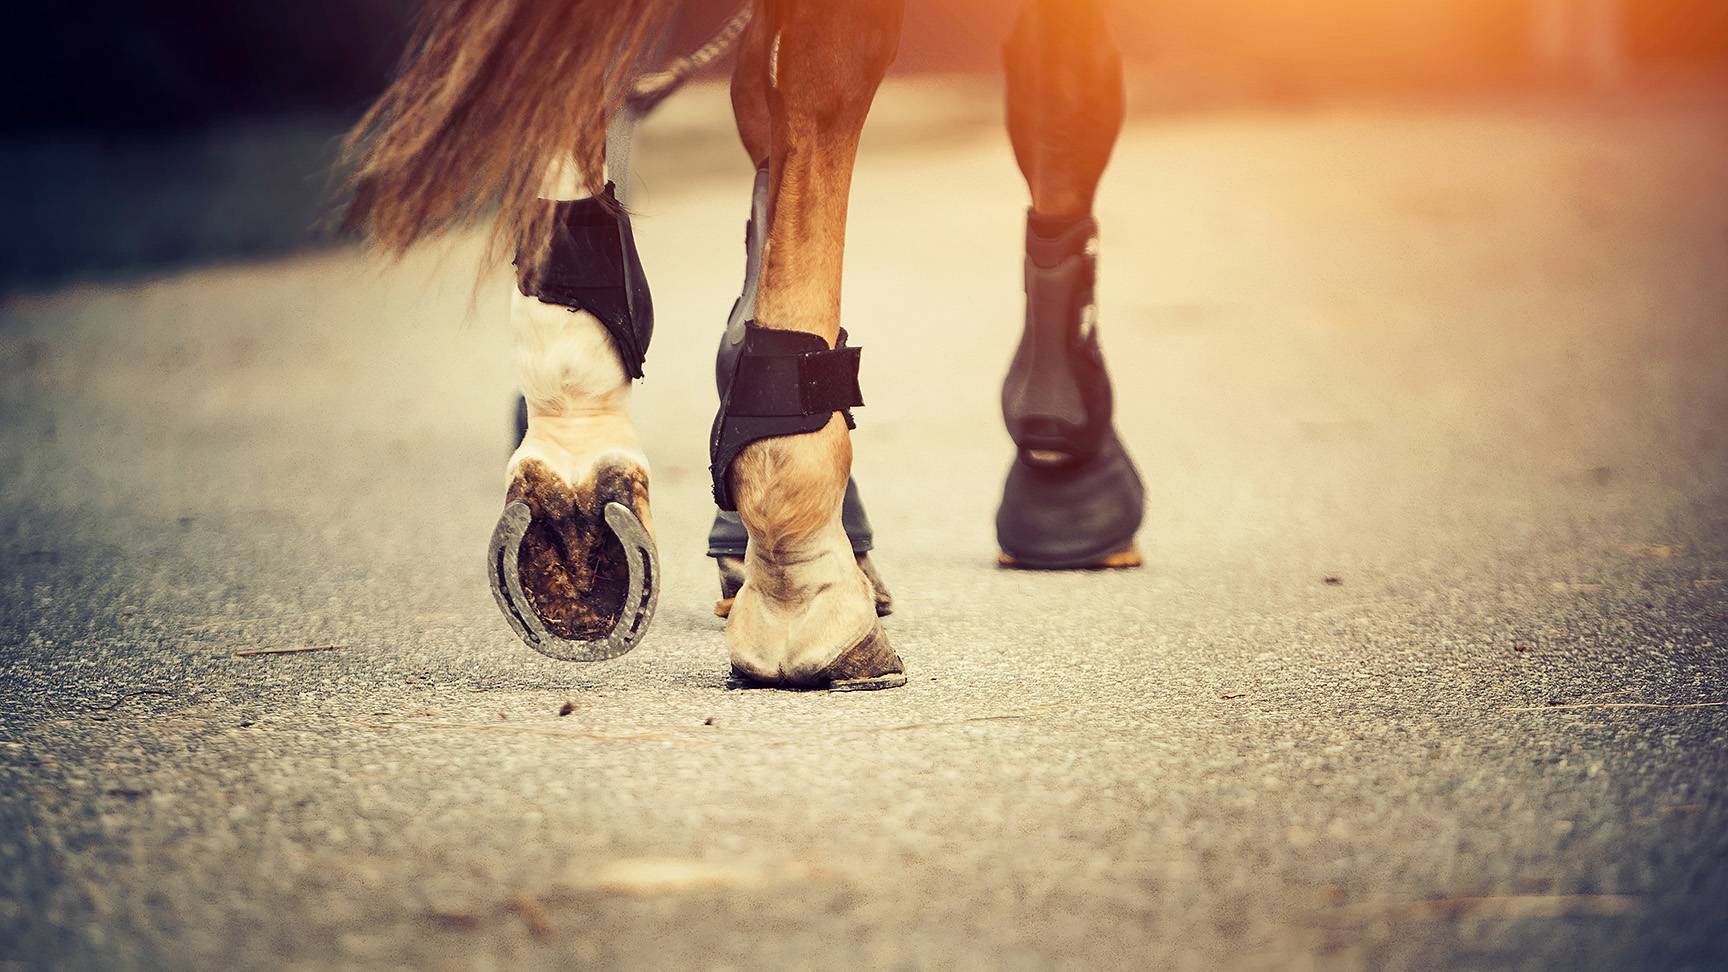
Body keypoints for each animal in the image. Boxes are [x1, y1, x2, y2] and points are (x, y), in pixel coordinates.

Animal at [343, 0, 1144, 690]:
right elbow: (1064, 100)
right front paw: (1071, 489)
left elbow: (759, 115)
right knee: (832, 80)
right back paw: (806, 588)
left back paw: (575, 474)